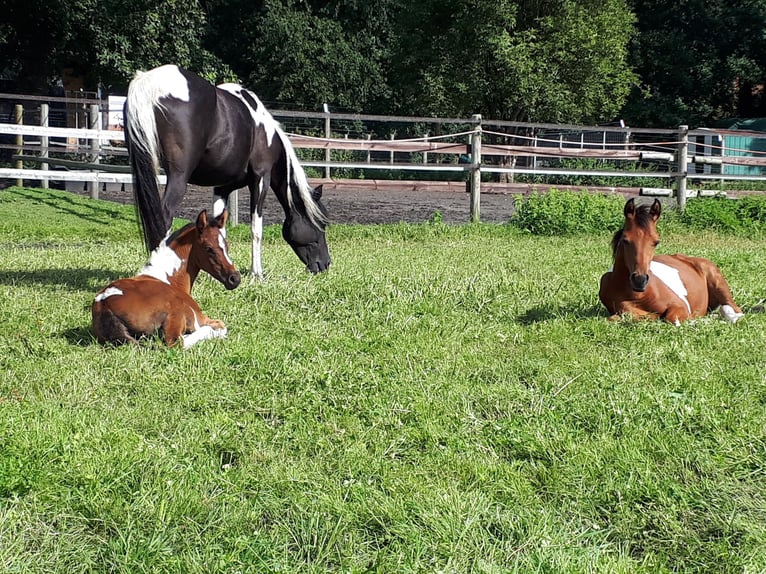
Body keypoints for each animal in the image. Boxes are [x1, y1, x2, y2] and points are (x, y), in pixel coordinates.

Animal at [94, 210, 243, 348]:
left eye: (227, 246)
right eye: (209, 248)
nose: (235, 278)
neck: (169, 278)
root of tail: (103, 304)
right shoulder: (200, 317)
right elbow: (221, 326)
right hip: (177, 313)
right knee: (178, 342)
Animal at [124, 64, 332, 278]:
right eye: (322, 224)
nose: (325, 264)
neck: (266, 134)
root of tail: (149, 82)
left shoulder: (221, 188)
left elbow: (219, 230)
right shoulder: (260, 179)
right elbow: (256, 228)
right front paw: (257, 273)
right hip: (178, 178)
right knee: (163, 219)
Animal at [600, 198, 744, 324]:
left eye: (656, 242)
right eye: (625, 240)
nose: (640, 280)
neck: (637, 296)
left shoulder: (681, 306)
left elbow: (672, 318)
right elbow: (618, 317)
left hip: (719, 285)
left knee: (734, 310)